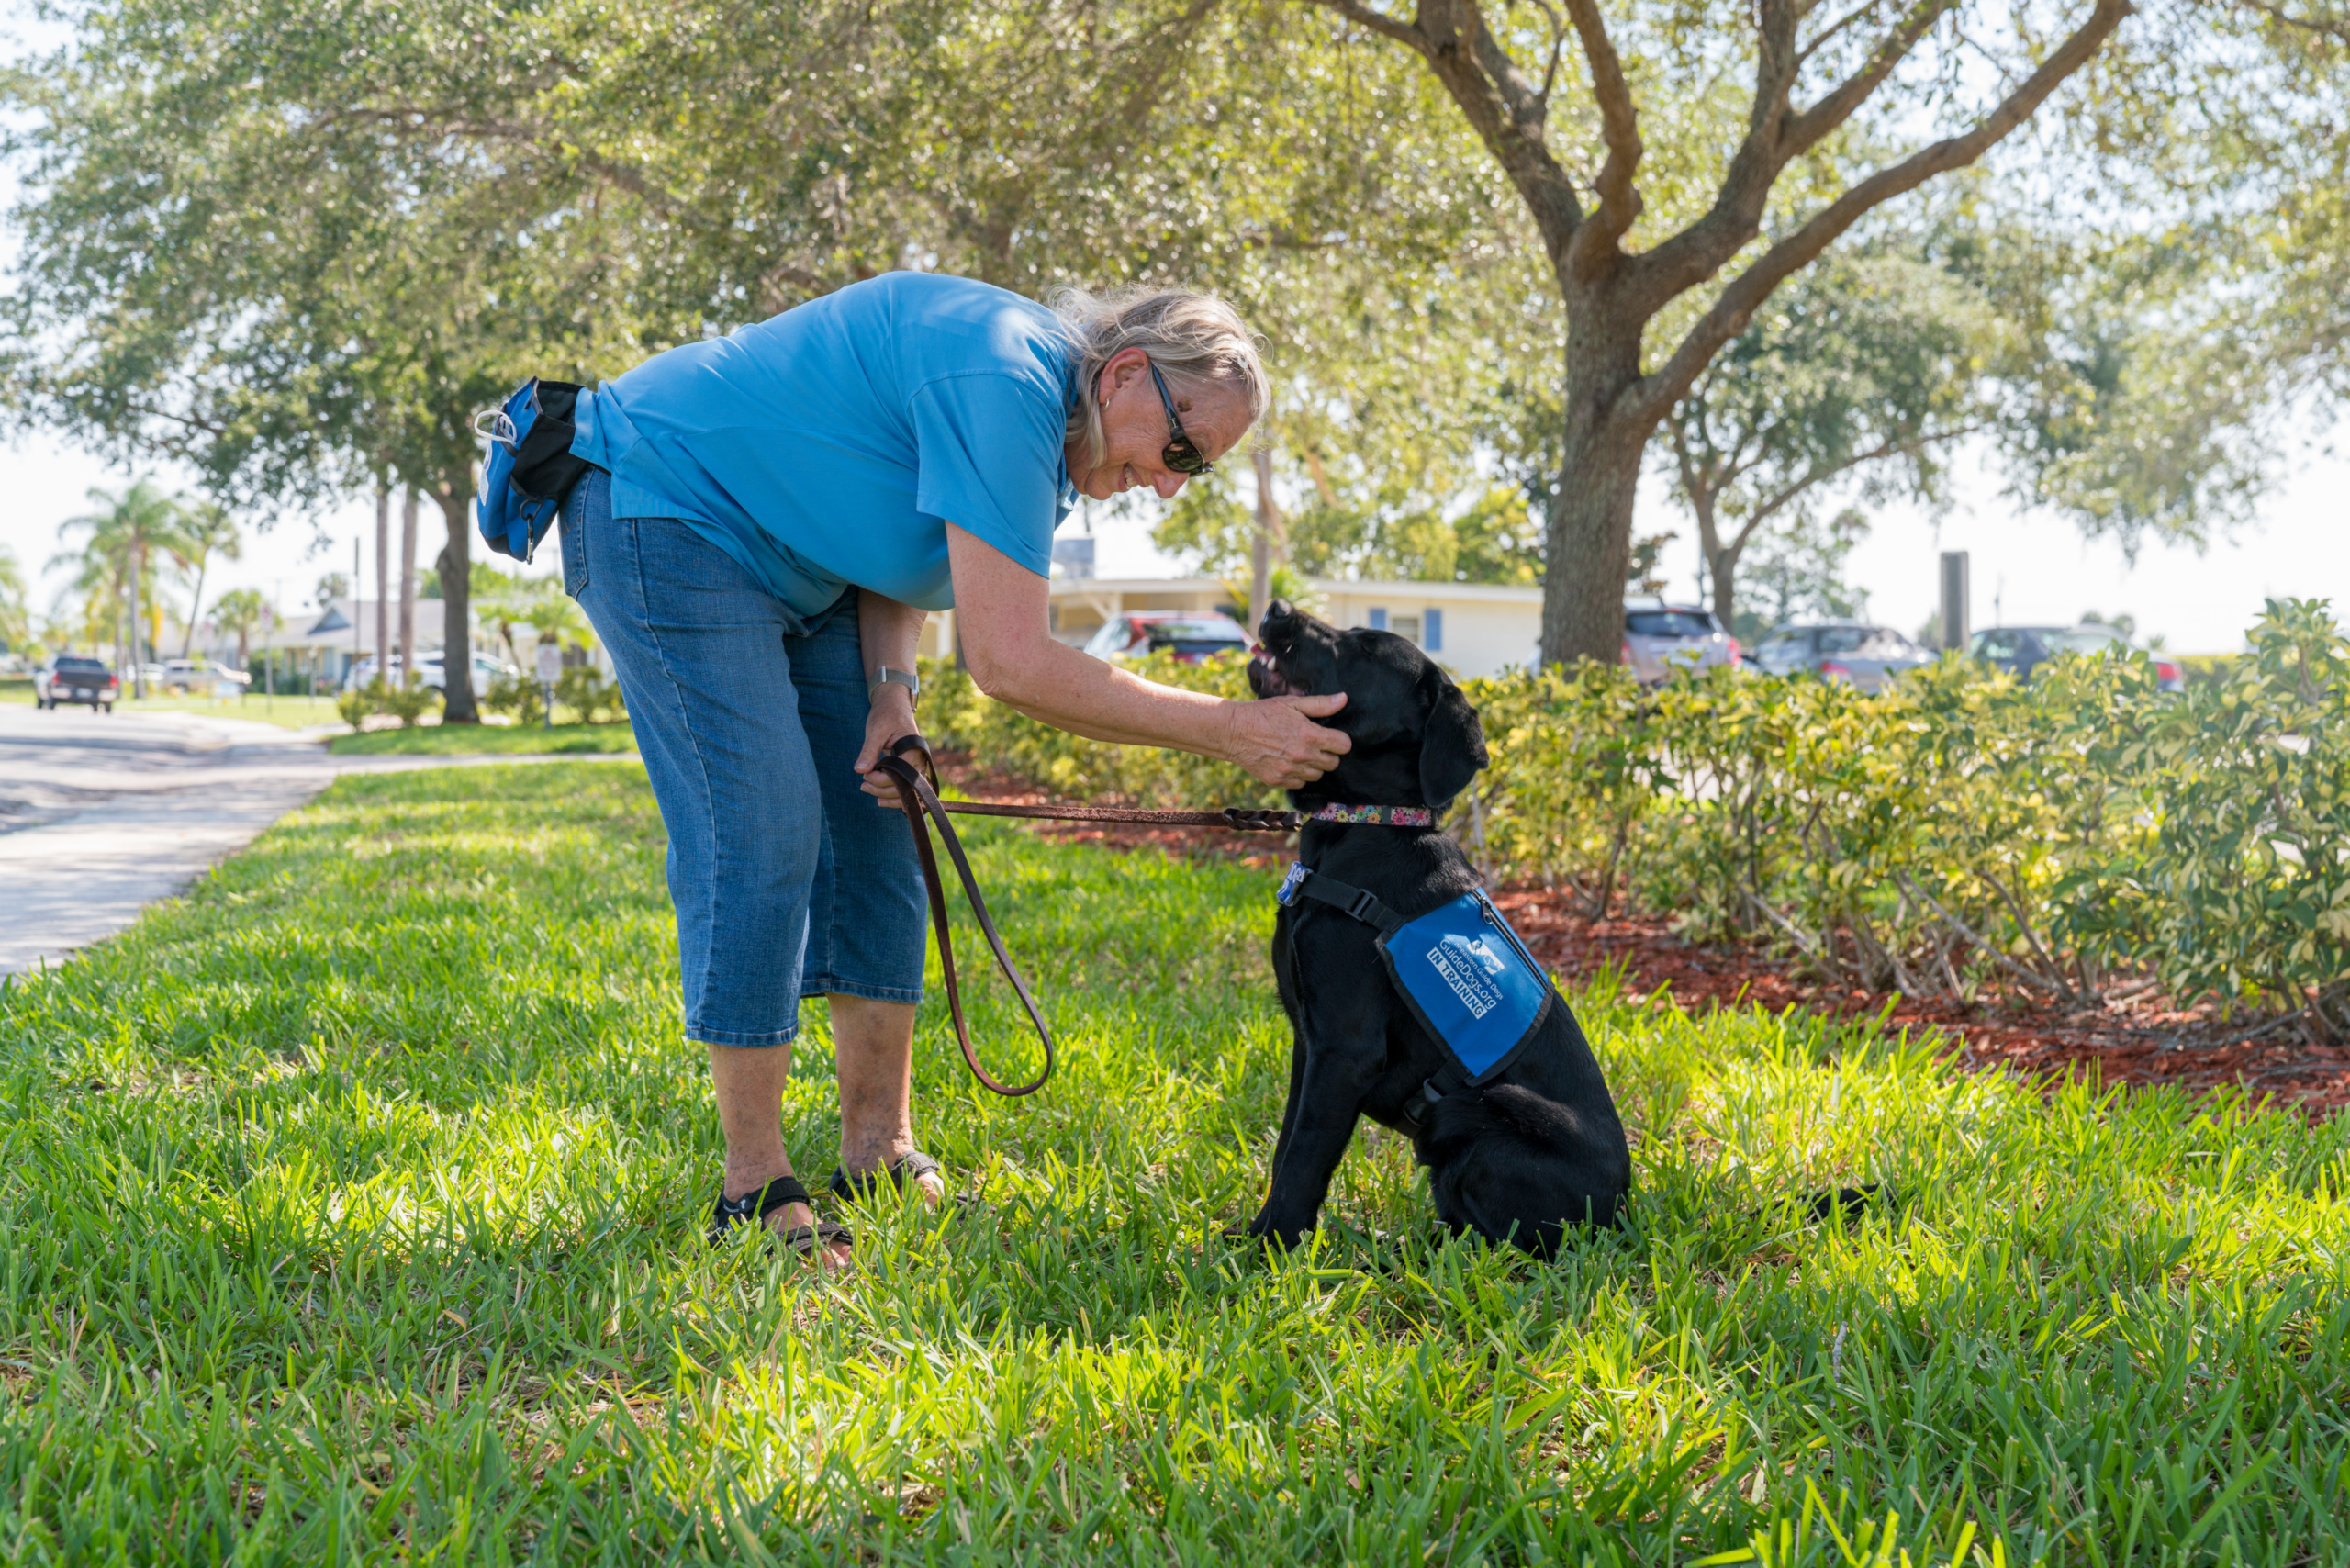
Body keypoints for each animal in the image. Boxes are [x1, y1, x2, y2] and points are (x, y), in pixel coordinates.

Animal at [1249, 594, 1635, 1260]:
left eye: (1365, 648)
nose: (1275, 607)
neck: (1369, 826)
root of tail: (1626, 1215)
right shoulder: (1308, 1041)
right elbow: (1285, 1149)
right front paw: (1250, 1237)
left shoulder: (1346, 1050)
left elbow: (1303, 1159)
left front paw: (1269, 1252)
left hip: (1479, 1113)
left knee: (1500, 1249)